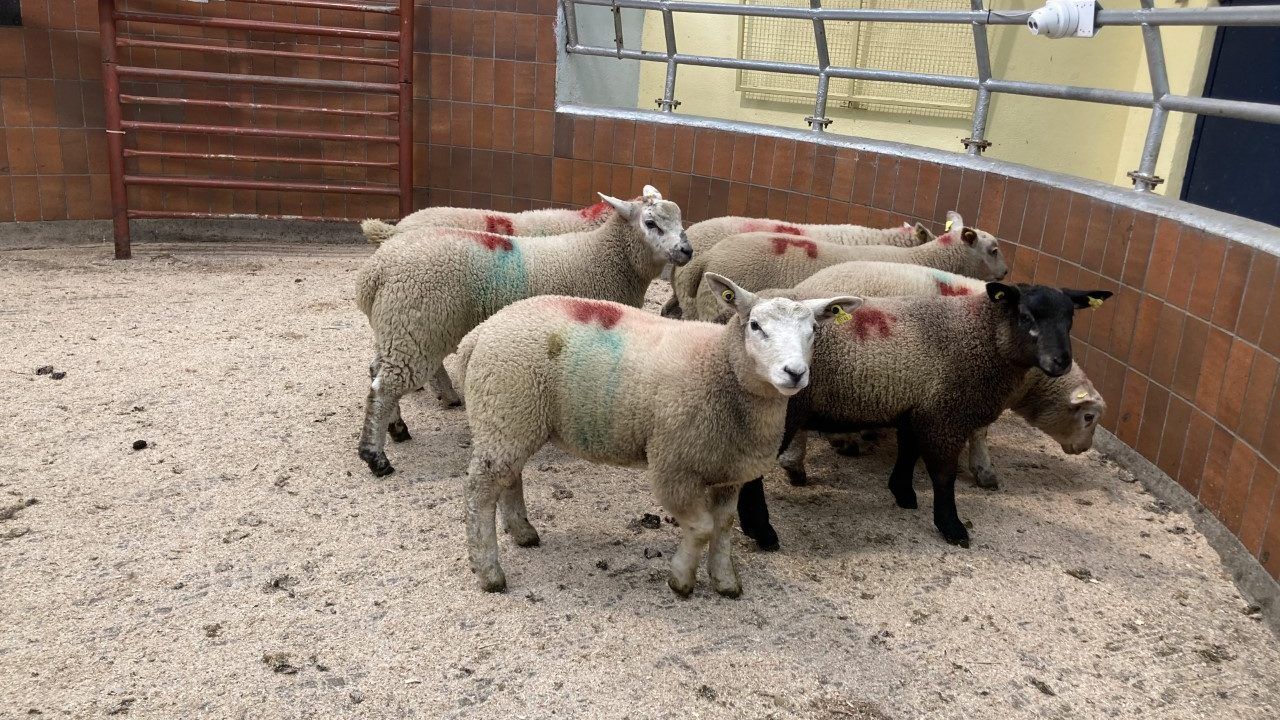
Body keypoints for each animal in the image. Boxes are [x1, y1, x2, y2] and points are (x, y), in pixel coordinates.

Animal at [356, 186, 693, 478]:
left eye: (679, 220)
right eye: (650, 223)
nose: (687, 250)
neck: (604, 256)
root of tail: (374, 273)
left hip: (398, 329)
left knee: (378, 373)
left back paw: (398, 428)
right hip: (417, 329)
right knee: (385, 387)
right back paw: (377, 457)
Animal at [454, 276, 859, 596]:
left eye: (814, 330)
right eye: (756, 325)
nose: (795, 373)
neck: (721, 366)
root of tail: (479, 333)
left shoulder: (730, 470)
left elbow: (724, 526)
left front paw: (725, 581)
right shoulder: (674, 465)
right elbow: (702, 527)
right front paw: (681, 581)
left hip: (512, 419)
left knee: (510, 478)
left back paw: (523, 532)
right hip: (505, 409)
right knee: (479, 493)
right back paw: (489, 572)